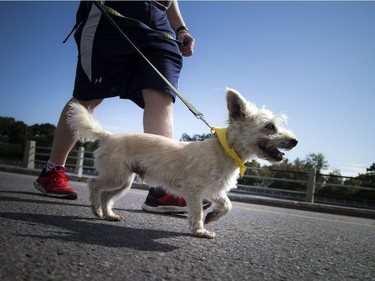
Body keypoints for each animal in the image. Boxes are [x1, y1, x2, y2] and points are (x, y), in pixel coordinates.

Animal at [67, 88, 296, 237]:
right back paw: (96, 209)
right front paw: (200, 230)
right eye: (269, 127)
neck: (225, 150)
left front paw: (212, 217)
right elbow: (197, 211)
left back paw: (108, 214)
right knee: (93, 184)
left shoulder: (214, 189)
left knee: (107, 196)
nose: (295, 141)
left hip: (124, 181)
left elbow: (227, 204)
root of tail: (107, 136)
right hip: (116, 176)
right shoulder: (194, 189)